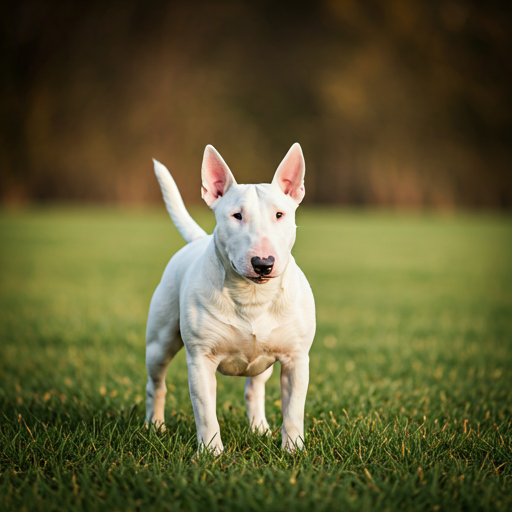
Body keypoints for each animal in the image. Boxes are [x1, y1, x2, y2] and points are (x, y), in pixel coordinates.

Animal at [145, 143, 316, 452]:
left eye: (280, 215)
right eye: (237, 215)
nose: (263, 263)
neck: (253, 296)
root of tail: (197, 239)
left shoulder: (296, 359)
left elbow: (294, 409)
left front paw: (294, 449)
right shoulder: (200, 359)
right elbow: (205, 411)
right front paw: (211, 452)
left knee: (254, 388)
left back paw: (259, 429)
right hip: (159, 342)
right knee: (156, 384)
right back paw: (155, 426)